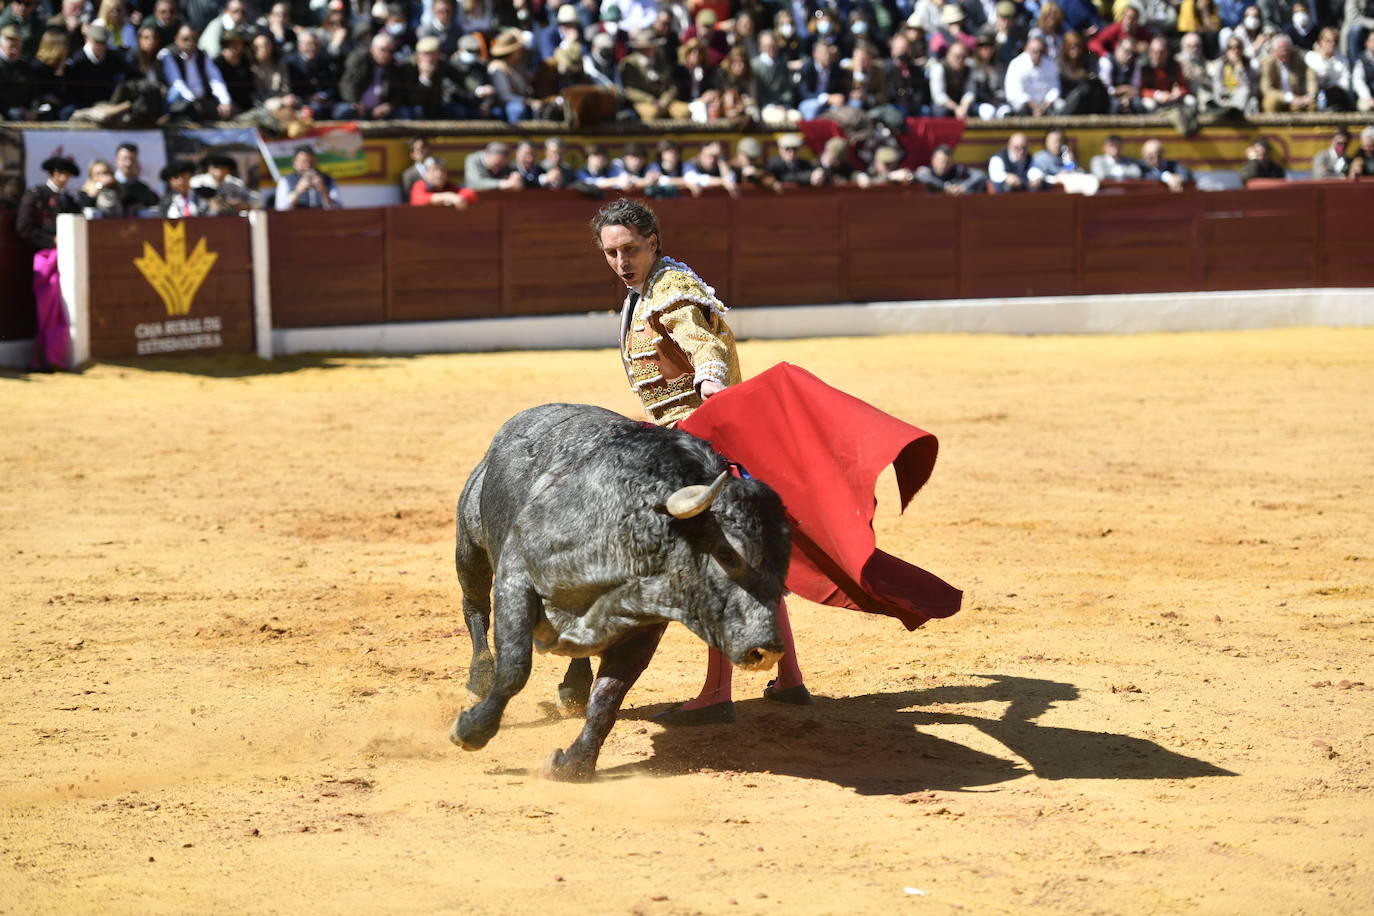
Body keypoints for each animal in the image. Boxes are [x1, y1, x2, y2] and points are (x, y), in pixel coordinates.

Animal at [450, 403, 791, 780]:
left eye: (785, 564)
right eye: (727, 554)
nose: (767, 650)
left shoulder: (643, 630)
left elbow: (607, 700)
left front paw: (573, 766)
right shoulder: (516, 576)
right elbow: (514, 667)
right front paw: (471, 731)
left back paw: (573, 690)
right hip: (470, 549)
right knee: (475, 609)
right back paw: (478, 680)